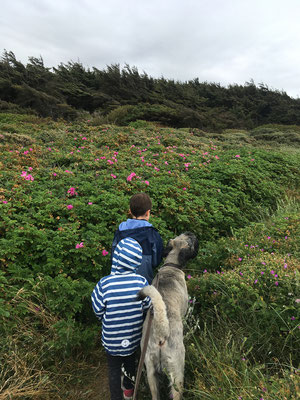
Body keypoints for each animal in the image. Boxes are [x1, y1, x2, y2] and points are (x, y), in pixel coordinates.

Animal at [139, 231, 199, 400]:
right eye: (190, 241)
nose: (190, 232)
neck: (171, 265)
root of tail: (161, 332)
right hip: (177, 369)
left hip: (150, 371)